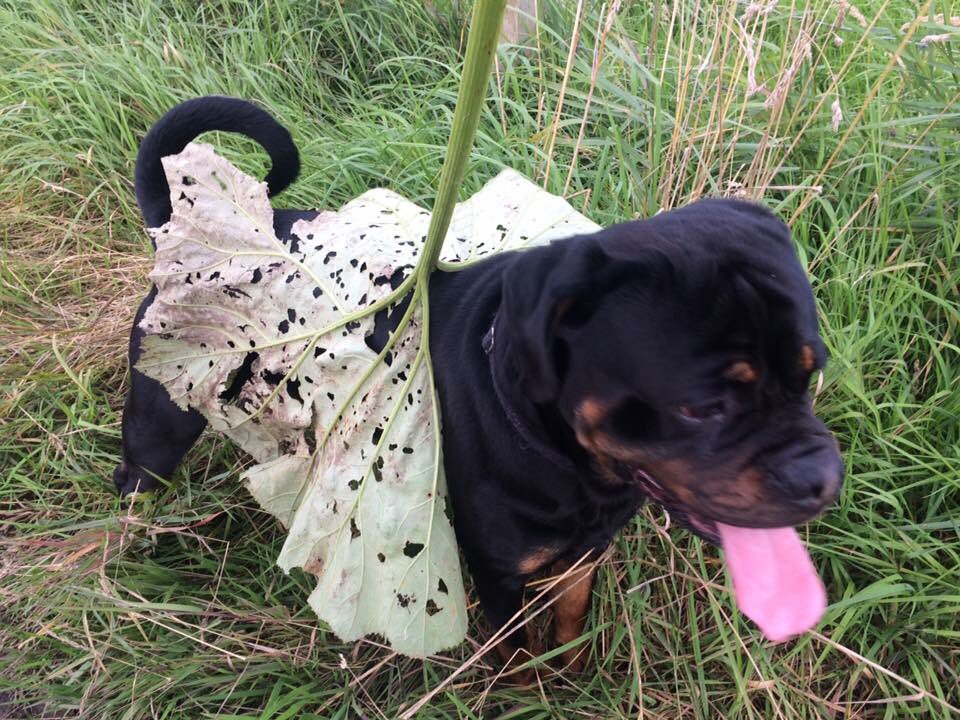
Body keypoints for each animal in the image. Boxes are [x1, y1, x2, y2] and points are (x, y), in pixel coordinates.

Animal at [116, 98, 844, 676]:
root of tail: (175, 234)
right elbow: (515, 647)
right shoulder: (497, 574)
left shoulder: (583, 552)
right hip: (159, 425)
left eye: (810, 373)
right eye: (702, 407)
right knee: (135, 479)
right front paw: (528, 688)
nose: (821, 475)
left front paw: (571, 670)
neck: (574, 469)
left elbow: (571, 612)